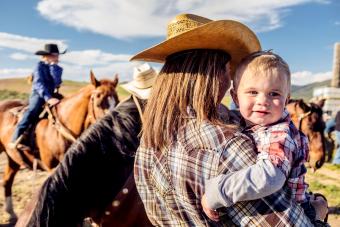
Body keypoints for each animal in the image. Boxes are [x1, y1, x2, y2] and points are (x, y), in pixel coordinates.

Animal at [0, 71, 119, 222]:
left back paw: (11, 213)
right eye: (98, 101)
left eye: (117, 100)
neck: (60, 129)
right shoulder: (53, 168)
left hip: (13, 158)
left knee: (7, 180)